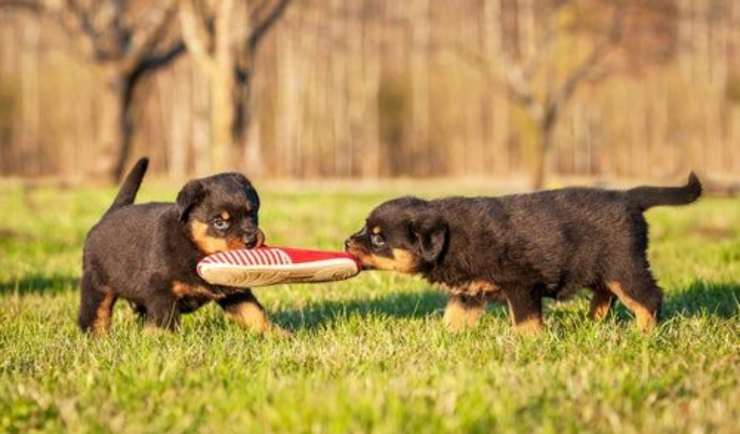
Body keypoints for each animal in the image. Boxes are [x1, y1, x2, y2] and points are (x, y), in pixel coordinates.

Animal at [78, 158, 280, 334]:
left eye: (251, 214)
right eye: (219, 222)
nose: (251, 240)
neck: (194, 246)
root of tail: (111, 213)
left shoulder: (234, 290)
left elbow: (254, 313)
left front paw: (278, 336)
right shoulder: (162, 292)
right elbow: (164, 323)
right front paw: (161, 342)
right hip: (97, 284)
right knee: (95, 314)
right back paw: (97, 337)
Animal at [344, 173, 704, 332]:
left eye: (378, 239)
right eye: (365, 230)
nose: (347, 243)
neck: (451, 239)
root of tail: (628, 197)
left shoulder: (522, 284)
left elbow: (526, 321)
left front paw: (530, 344)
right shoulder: (468, 291)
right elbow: (454, 317)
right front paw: (446, 338)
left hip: (624, 265)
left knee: (648, 297)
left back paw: (643, 333)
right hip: (599, 268)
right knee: (606, 294)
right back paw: (592, 322)